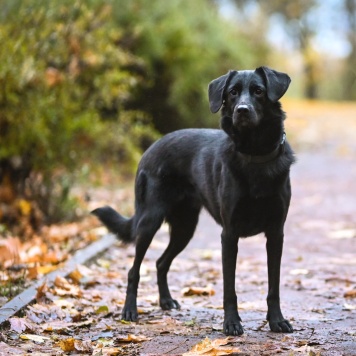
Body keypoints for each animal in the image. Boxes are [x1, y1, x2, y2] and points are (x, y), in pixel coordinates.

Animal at [92, 67, 294, 336]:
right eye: (233, 92)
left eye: (259, 91)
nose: (242, 110)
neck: (255, 155)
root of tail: (150, 148)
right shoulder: (229, 234)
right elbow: (229, 288)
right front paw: (231, 323)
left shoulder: (276, 233)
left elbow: (274, 285)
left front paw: (276, 321)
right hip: (149, 222)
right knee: (134, 269)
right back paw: (129, 311)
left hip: (185, 228)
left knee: (161, 263)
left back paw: (166, 301)